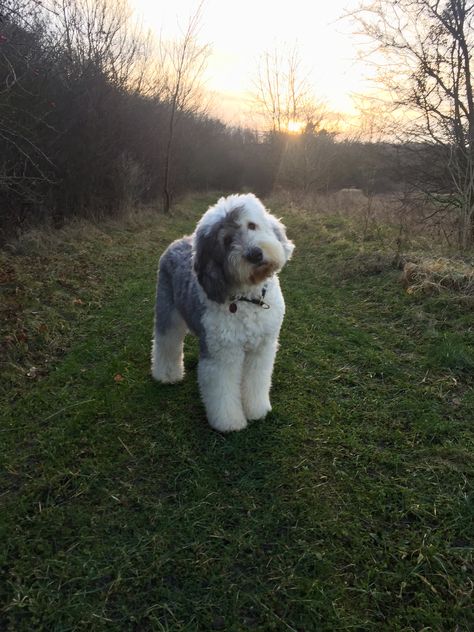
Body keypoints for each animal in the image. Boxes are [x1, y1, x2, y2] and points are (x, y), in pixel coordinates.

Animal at [151, 194, 292, 430]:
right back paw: (167, 375)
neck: (248, 299)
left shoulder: (261, 349)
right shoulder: (222, 355)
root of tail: (178, 241)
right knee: (166, 343)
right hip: (167, 312)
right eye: (226, 241)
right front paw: (229, 423)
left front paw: (257, 410)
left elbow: (256, 380)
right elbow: (222, 390)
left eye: (251, 225)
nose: (255, 254)